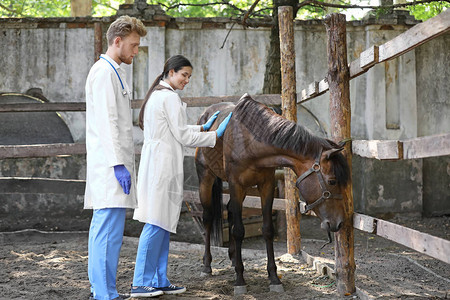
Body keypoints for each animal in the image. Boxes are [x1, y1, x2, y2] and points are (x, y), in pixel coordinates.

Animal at [195, 94, 350, 296]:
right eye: (332, 181)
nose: (339, 223)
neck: (251, 141)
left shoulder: (266, 185)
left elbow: (267, 230)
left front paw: (274, 278)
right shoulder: (236, 185)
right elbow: (238, 231)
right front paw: (239, 280)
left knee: (230, 210)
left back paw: (233, 257)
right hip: (206, 178)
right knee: (208, 217)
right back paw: (207, 266)